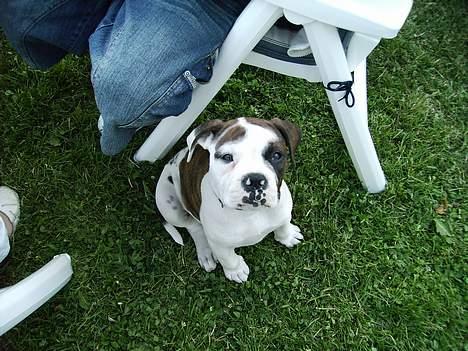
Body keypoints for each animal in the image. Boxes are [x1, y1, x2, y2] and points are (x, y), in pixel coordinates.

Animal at [156, 118, 304, 284]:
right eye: (227, 157)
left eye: (276, 155)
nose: (255, 180)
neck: (251, 213)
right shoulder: (219, 244)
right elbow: (228, 258)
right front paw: (236, 271)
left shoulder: (283, 211)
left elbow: (284, 223)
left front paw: (287, 236)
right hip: (168, 206)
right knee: (193, 226)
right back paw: (205, 252)